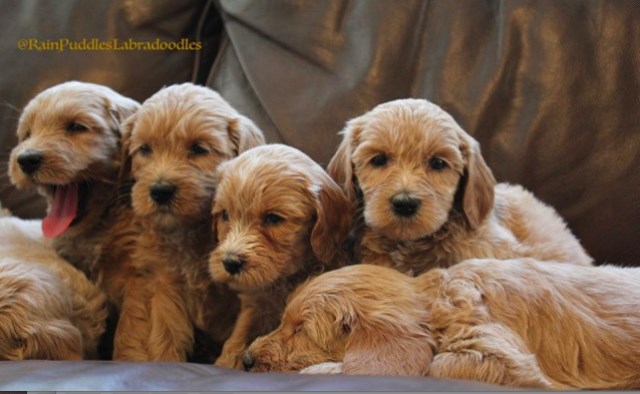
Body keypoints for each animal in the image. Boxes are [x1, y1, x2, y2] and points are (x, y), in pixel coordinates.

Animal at [114, 84, 264, 362]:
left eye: (198, 149)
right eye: (145, 149)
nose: (160, 190)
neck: (191, 231)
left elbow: (239, 338)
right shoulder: (165, 285)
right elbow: (166, 336)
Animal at [209, 145, 352, 370]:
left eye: (273, 218)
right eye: (224, 215)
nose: (230, 263)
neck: (284, 279)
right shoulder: (254, 302)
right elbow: (240, 331)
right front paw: (228, 360)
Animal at [244, 260, 640, 390]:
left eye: (300, 331)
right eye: (283, 322)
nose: (245, 361)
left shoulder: (501, 355)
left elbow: (434, 364)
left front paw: (324, 368)